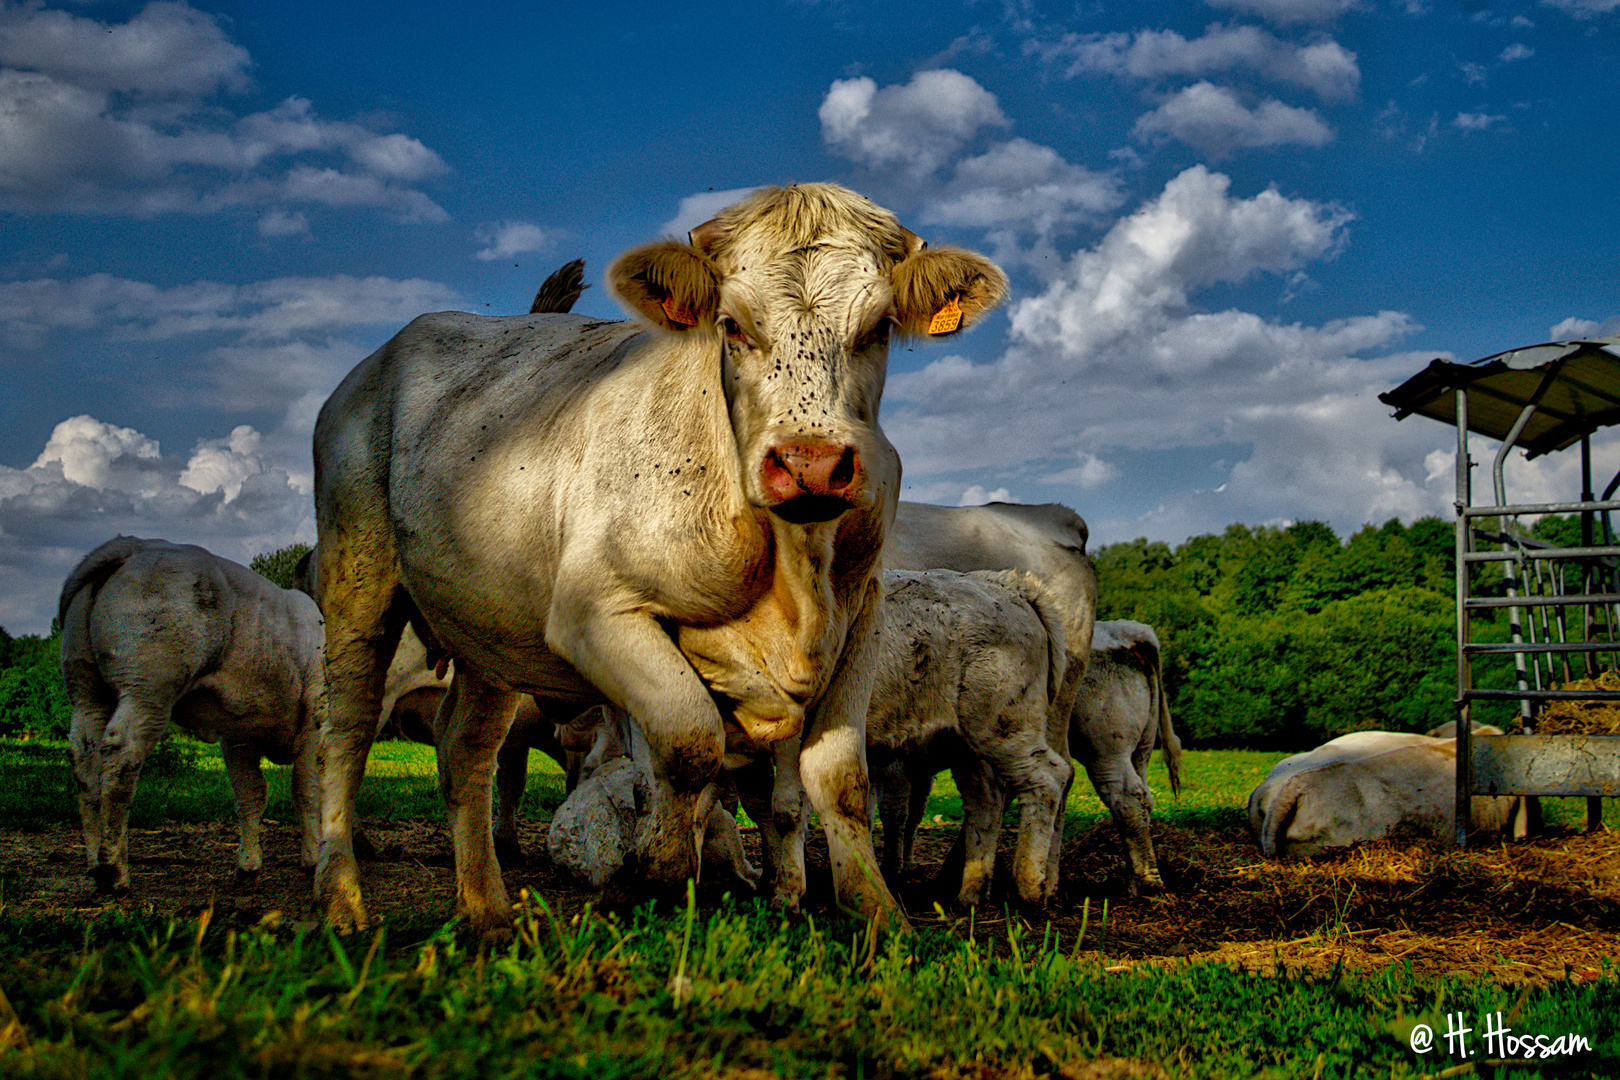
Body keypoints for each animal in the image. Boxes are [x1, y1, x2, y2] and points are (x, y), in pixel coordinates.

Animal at [61, 534, 327, 893]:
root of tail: (135, 545)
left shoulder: (238, 735)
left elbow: (250, 794)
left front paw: (248, 864)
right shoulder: (314, 719)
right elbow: (306, 791)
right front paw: (312, 858)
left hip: (86, 690)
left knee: (84, 761)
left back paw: (94, 865)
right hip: (148, 687)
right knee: (120, 757)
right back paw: (115, 871)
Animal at [309, 181, 1004, 932]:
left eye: (877, 328)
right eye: (731, 325)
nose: (810, 465)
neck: (795, 575)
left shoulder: (863, 618)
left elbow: (841, 779)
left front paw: (877, 912)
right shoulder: (594, 613)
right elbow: (689, 739)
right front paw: (656, 874)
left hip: (487, 631)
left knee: (464, 746)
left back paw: (487, 911)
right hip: (358, 583)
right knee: (344, 732)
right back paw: (342, 899)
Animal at [881, 501, 1095, 900]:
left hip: (1019, 717)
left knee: (1052, 777)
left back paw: (1034, 881)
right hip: (977, 736)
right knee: (993, 794)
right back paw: (970, 883)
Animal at [1069, 621, 1185, 893]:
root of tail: (1124, 629)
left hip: (1106, 748)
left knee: (1127, 798)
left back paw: (1148, 882)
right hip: (1141, 747)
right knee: (1144, 800)